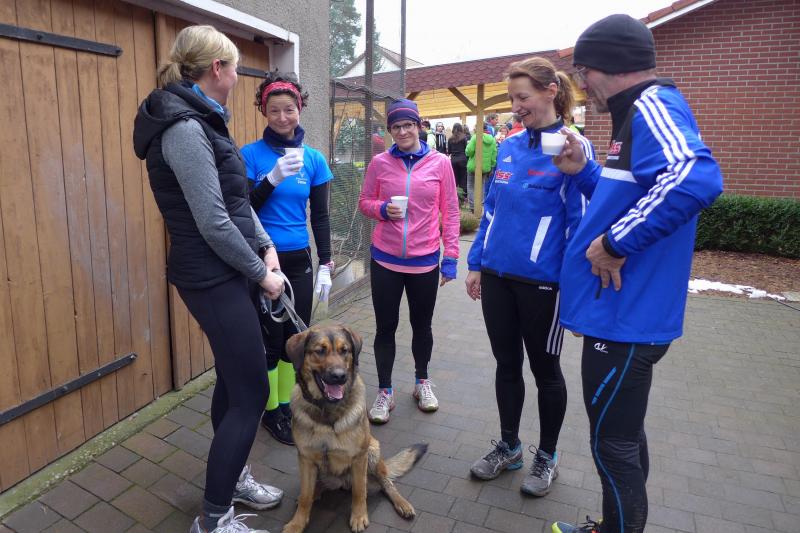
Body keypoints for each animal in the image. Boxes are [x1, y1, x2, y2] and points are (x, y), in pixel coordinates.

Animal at [282, 323, 427, 533]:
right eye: (320, 351)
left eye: (345, 351)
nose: (340, 376)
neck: (328, 410)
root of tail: (342, 483)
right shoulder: (306, 459)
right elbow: (305, 497)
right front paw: (297, 523)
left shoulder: (359, 457)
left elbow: (359, 492)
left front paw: (359, 517)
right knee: (316, 487)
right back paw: (317, 491)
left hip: (373, 452)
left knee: (386, 483)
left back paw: (402, 503)